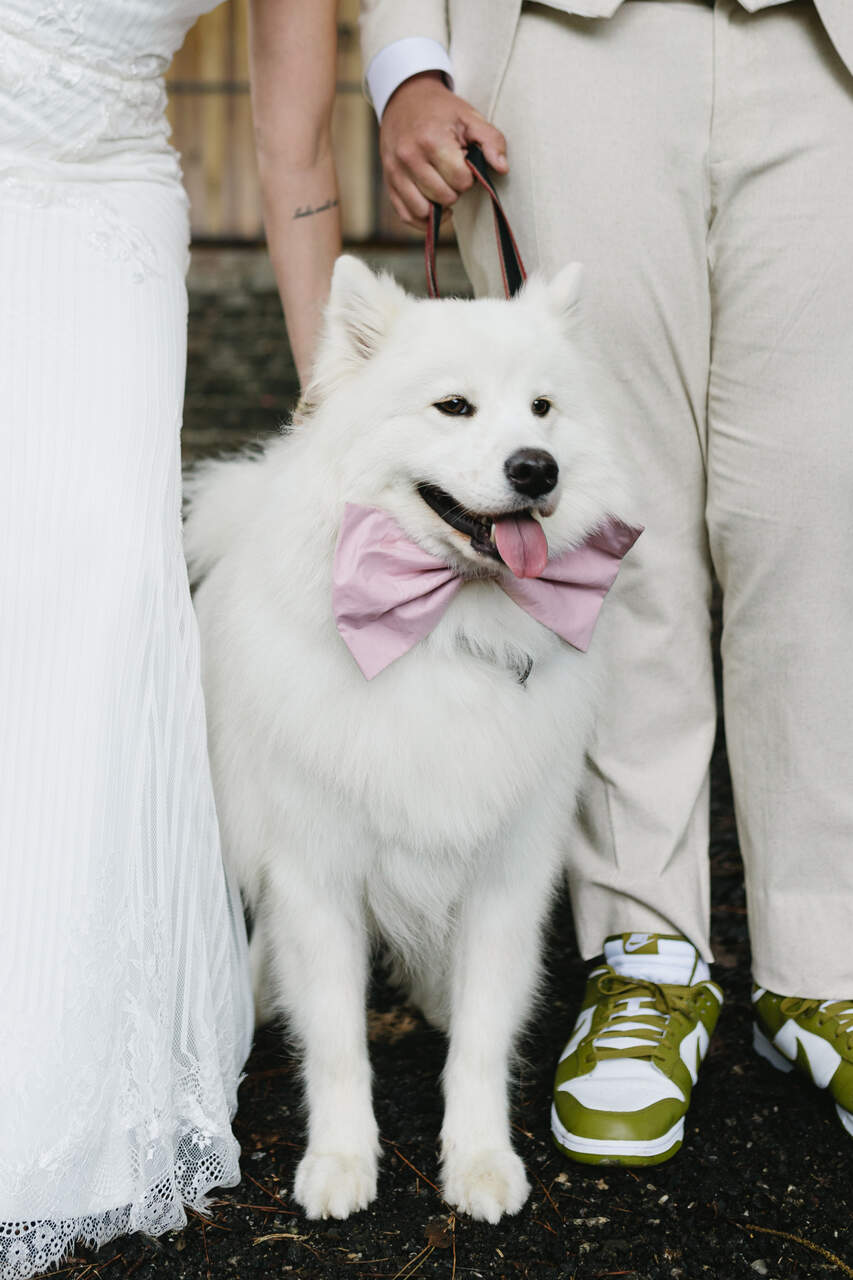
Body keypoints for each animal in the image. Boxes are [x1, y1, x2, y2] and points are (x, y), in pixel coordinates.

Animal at [185, 254, 635, 1223]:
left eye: (542, 408)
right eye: (453, 407)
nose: (535, 468)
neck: (439, 631)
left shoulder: (508, 872)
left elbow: (482, 1039)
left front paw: (480, 1160)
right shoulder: (315, 872)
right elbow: (335, 1042)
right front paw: (340, 1160)